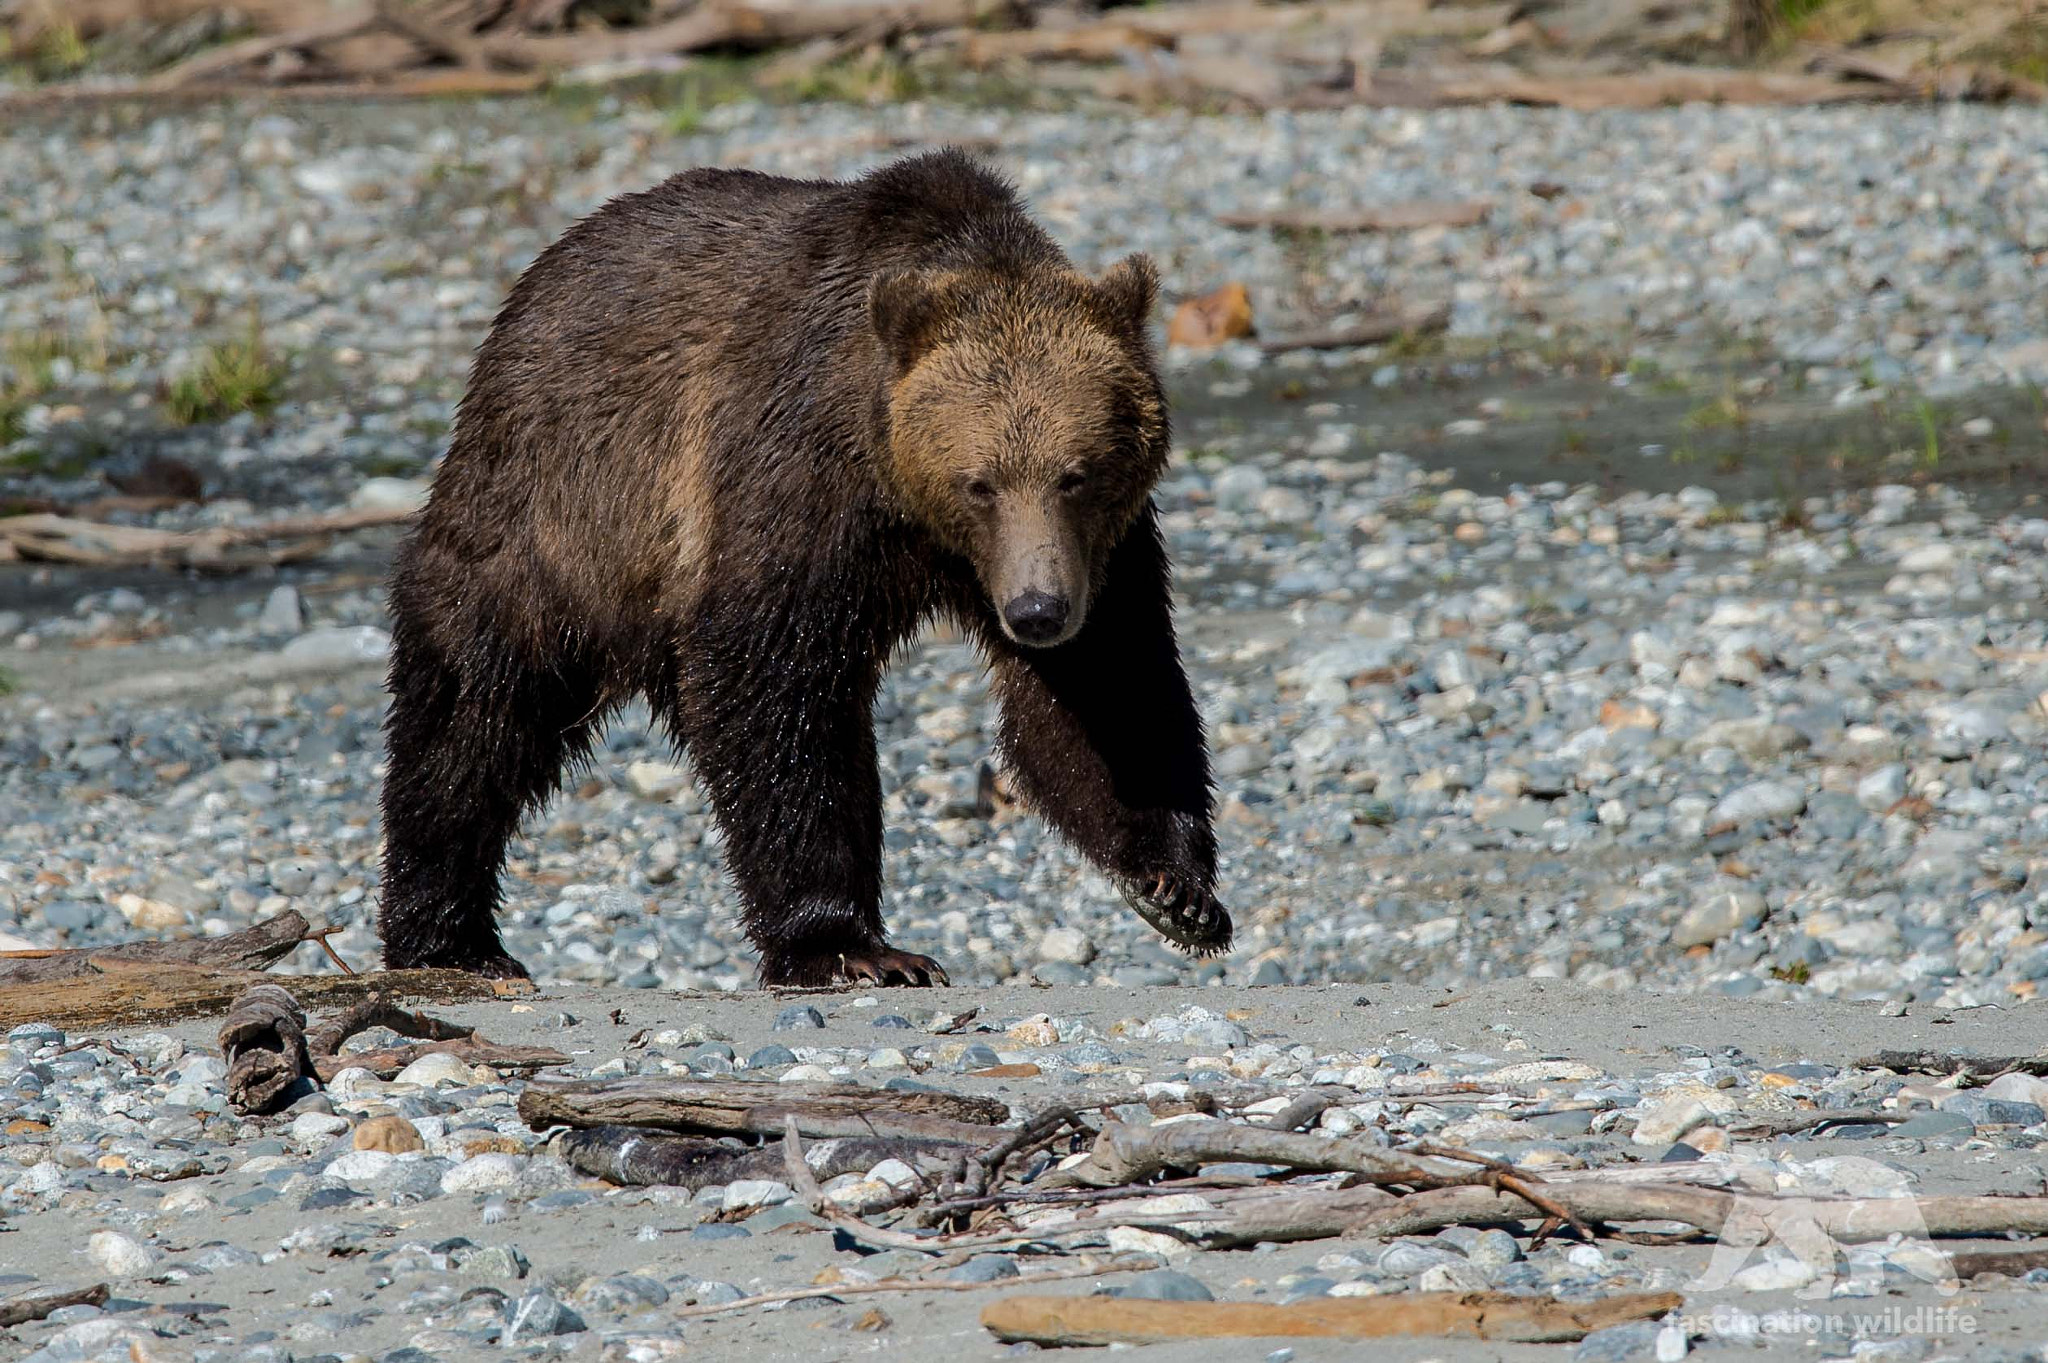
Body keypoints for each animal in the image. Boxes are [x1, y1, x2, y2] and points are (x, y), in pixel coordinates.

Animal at [376, 148, 1220, 982]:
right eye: (979, 482)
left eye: (1076, 473)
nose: (1038, 612)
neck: (912, 511)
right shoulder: (801, 482)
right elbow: (779, 684)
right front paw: (851, 945)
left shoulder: (1100, 552)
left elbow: (1107, 688)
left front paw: (1175, 888)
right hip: (557, 512)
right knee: (475, 709)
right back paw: (450, 936)